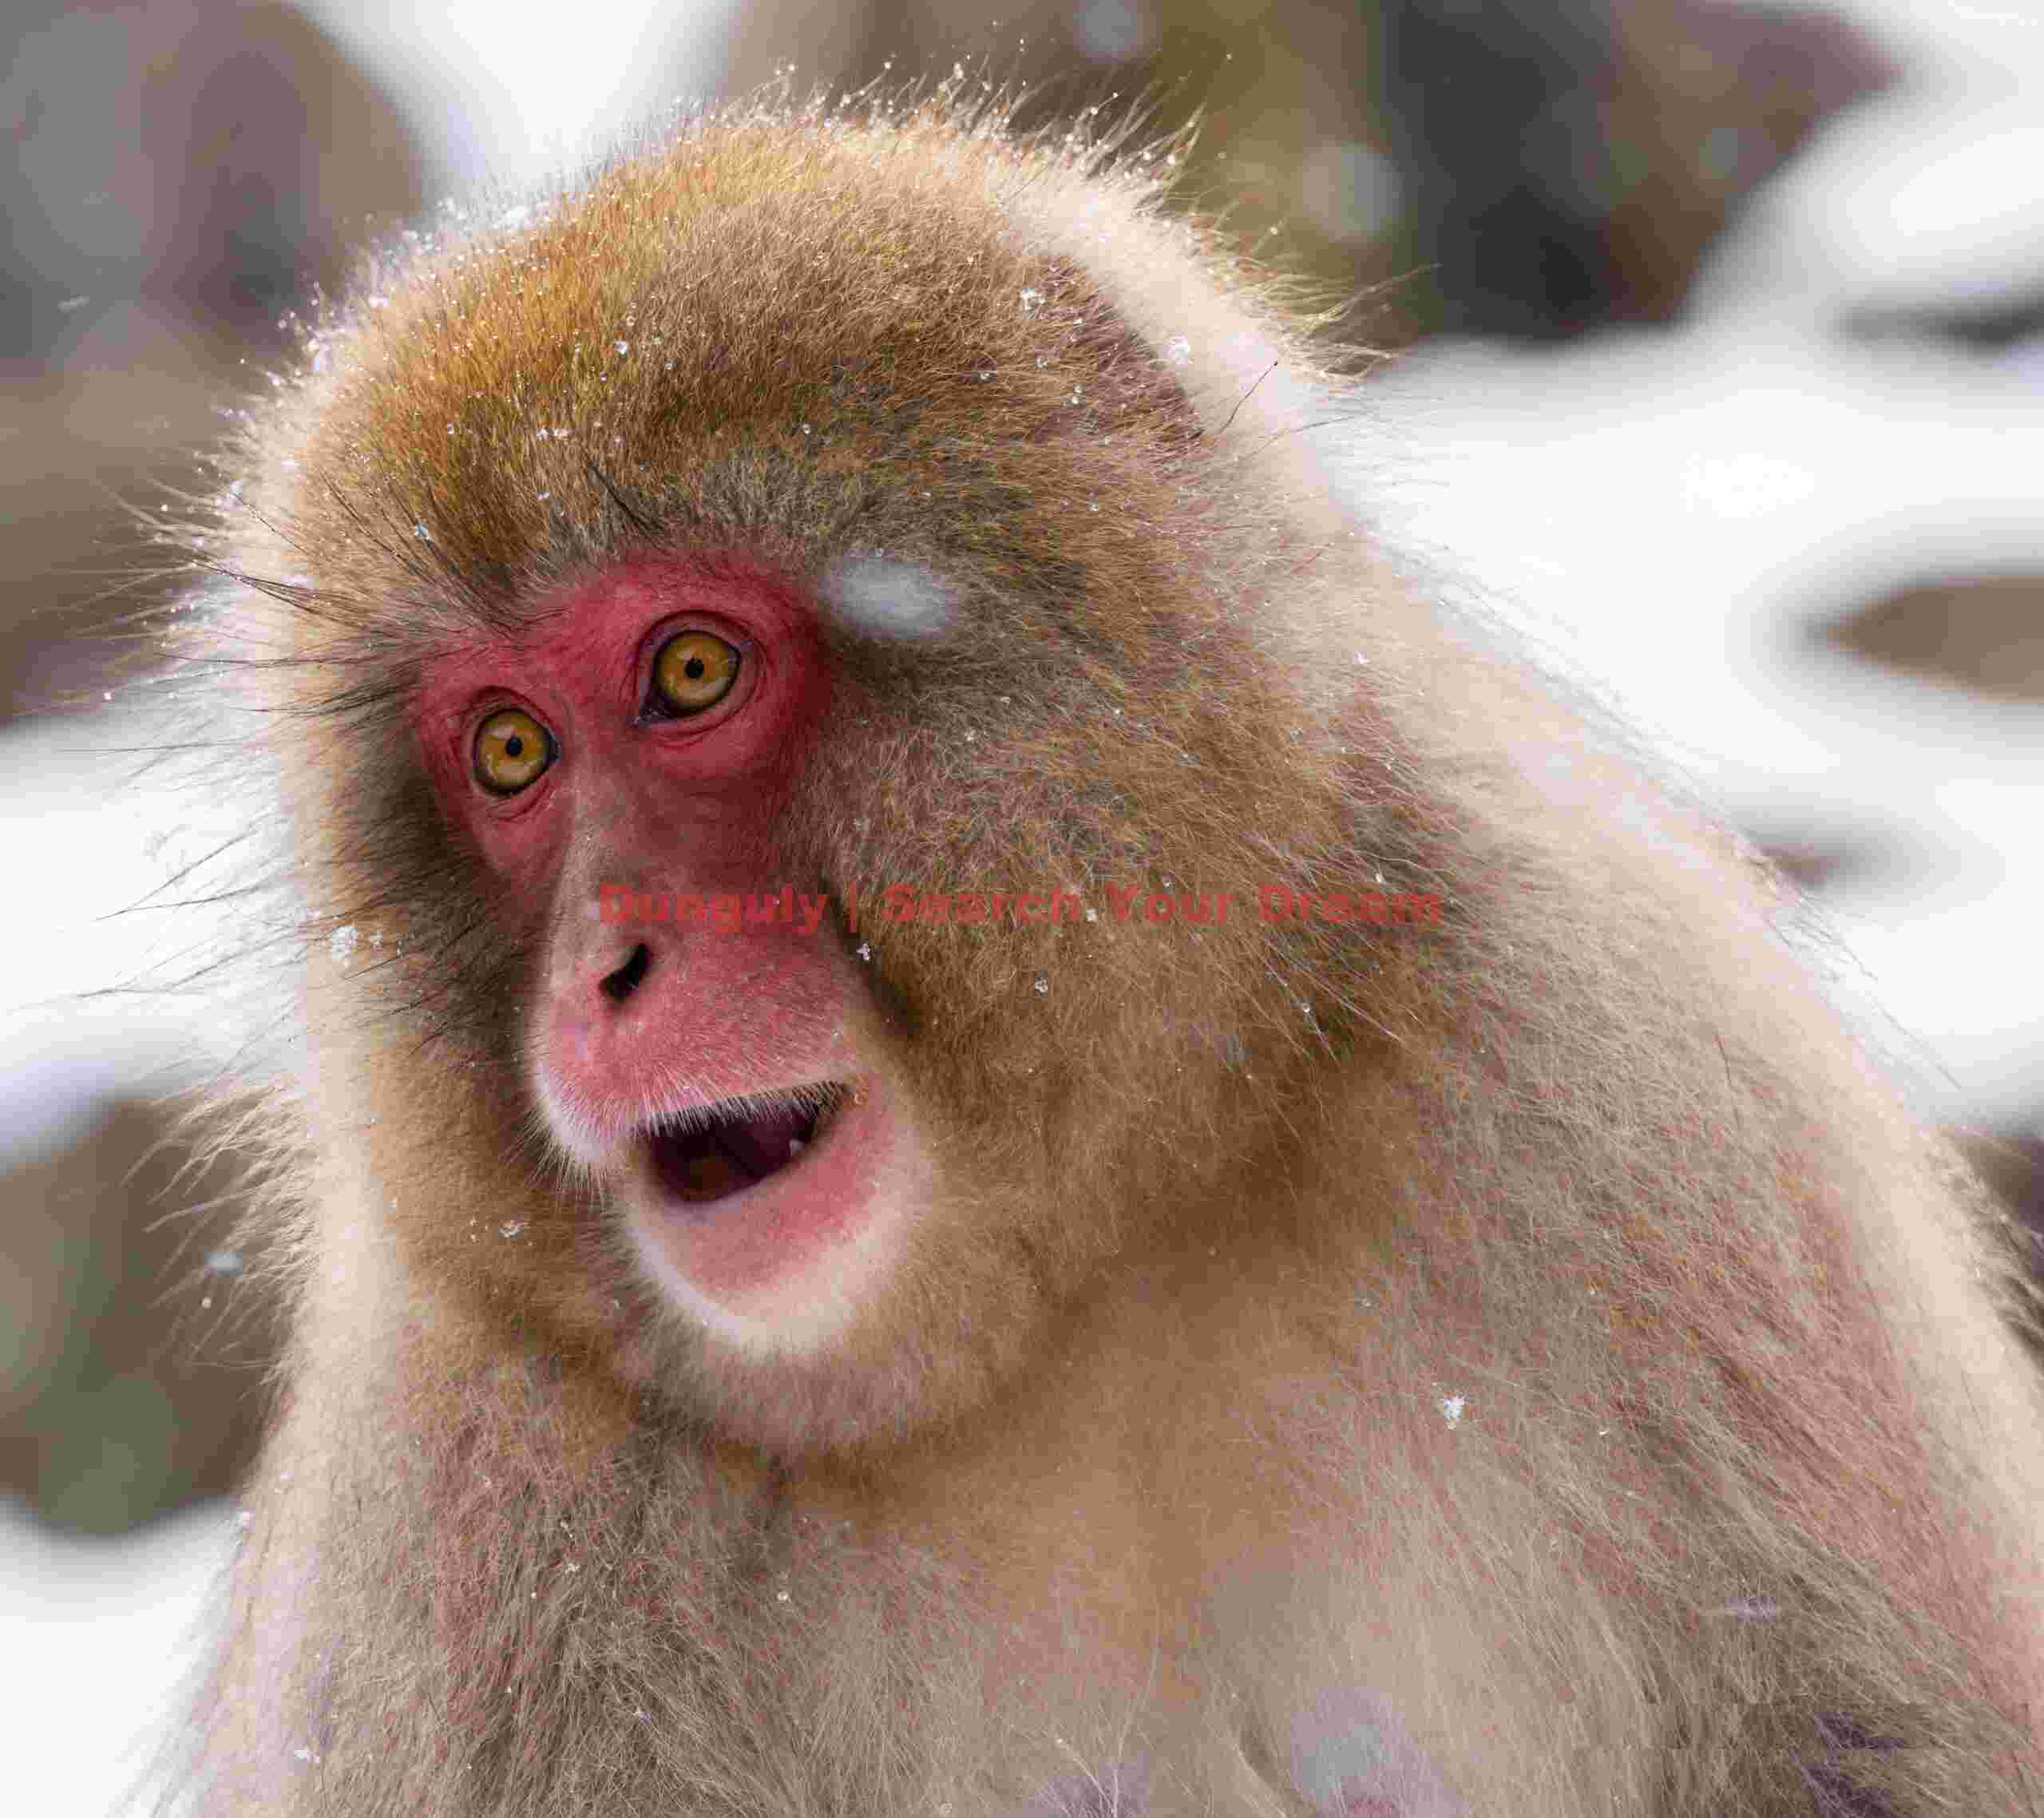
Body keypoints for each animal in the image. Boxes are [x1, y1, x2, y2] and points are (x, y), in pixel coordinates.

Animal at [145, 81, 2044, 1818]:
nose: (606, 967)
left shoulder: (1631, 1089)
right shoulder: (474, 1501)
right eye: (509, 752)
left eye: (689, 670)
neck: (1069, 1280)